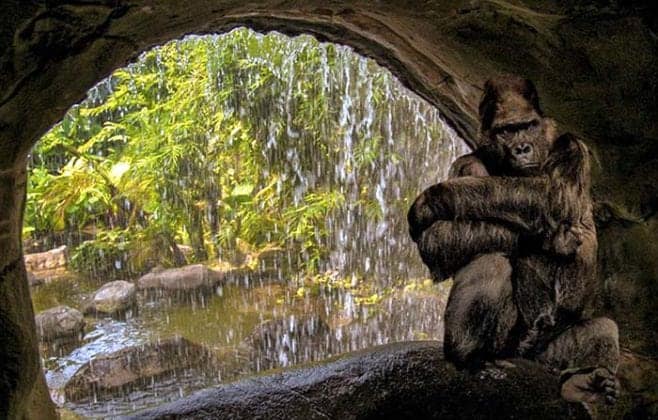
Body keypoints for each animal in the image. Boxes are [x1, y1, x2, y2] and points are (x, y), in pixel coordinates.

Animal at [407, 75, 619, 405]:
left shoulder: (571, 147)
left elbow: (552, 196)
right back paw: (468, 356)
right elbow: (441, 238)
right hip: (508, 349)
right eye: (507, 131)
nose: (522, 148)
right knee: (490, 260)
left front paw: (433, 199)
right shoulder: (467, 164)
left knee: (602, 327)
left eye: (527, 126)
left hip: (544, 356)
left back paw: (583, 382)